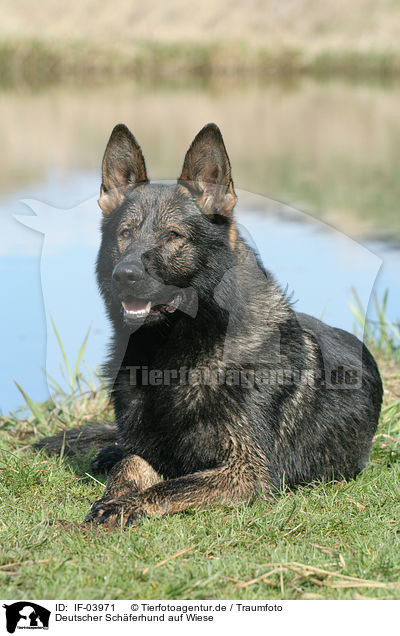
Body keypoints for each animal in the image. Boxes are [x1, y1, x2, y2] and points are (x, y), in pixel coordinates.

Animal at [36, 123, 382, 528]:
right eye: (125, 234)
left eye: (173, 236)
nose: (125, 275)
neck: (175, 352)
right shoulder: (152, 452)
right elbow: (129, 466)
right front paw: (113, 495)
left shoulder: (247, 471)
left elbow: (172, 487)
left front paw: (128, 505)